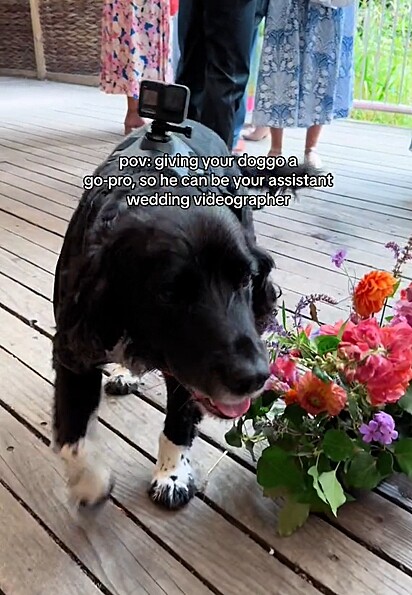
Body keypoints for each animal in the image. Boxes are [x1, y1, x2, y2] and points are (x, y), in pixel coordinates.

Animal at [50, 121, 312, 512]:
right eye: (169, 293)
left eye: (246, 278)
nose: (253, 377)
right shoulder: (74, 345)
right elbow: (73, 435)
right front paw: (89, 481)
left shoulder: (186, 373)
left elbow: (179, 421)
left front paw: (171, 476)